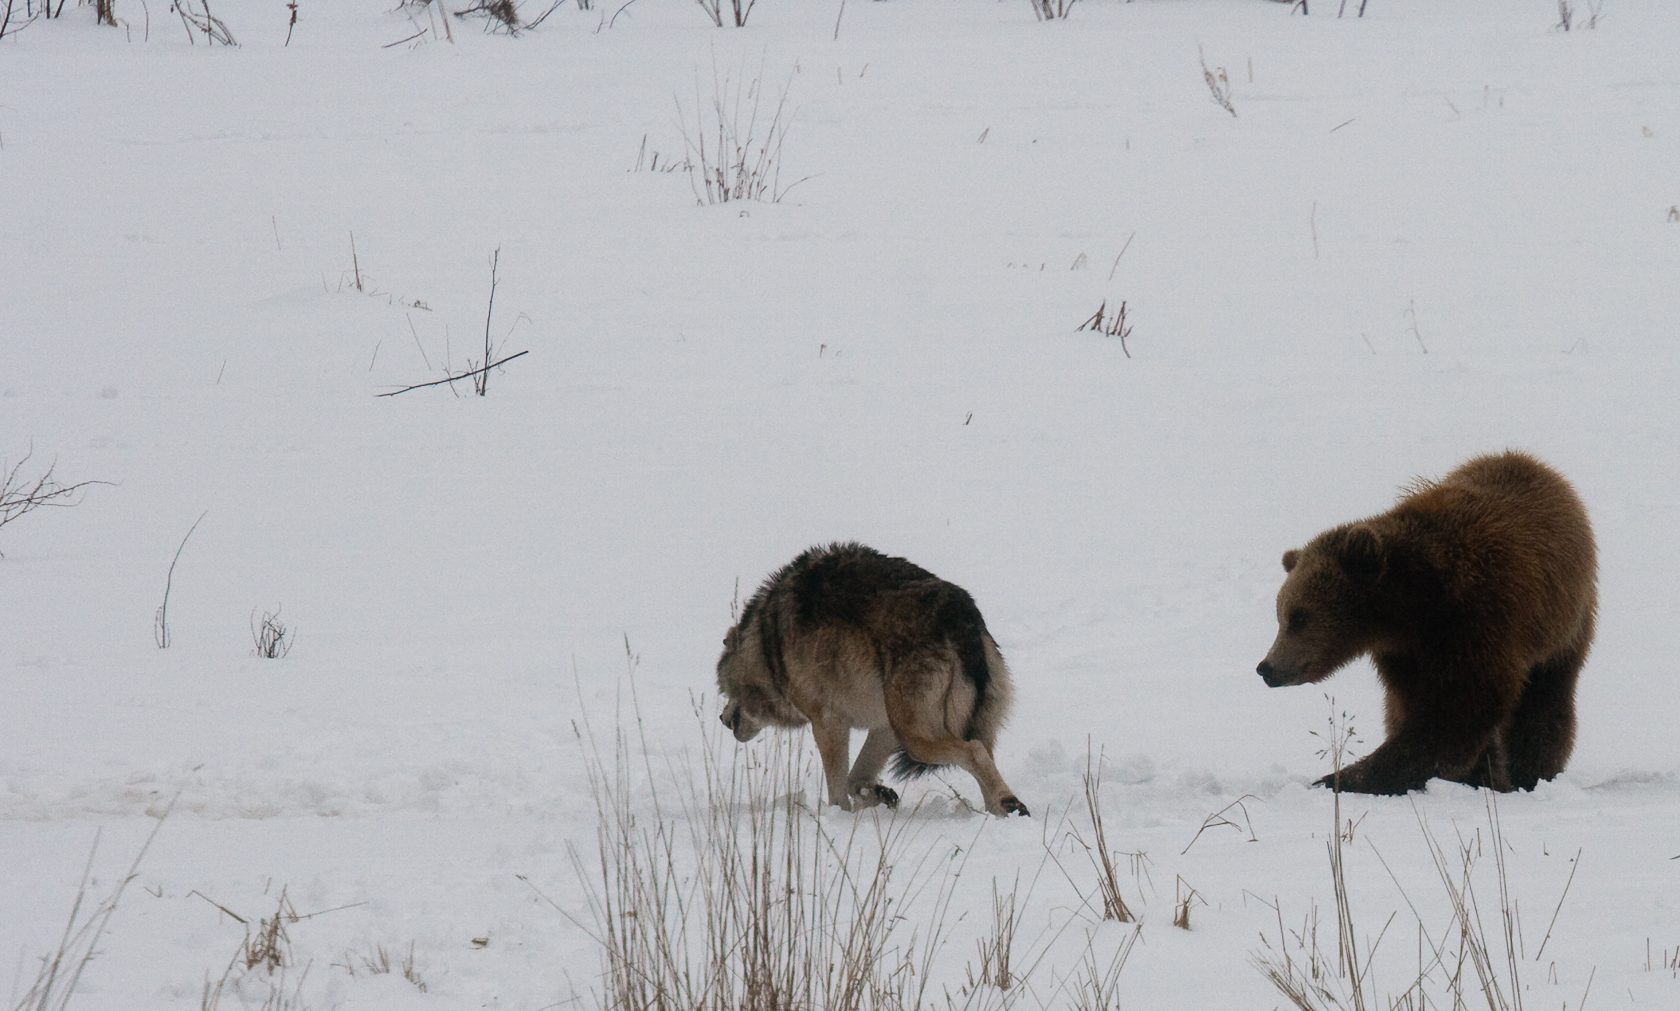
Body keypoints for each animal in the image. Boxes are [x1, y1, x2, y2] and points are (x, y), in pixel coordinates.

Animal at [715, 540, 1028, 816]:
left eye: (725, 691)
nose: (722, 719)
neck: (768, 641)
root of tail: (961, 617)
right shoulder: (883, 726)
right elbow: (856, 779)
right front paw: (880, 794)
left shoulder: (828, 723)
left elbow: (838, 788)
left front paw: (839, 817)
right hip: (931, 728)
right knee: (985, 764)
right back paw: (1003, 812)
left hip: (915, 739)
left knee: (974, 752)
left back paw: (1011, 805)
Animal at [1263, 450, 1599, 796]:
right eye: (1281, 615)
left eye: (1298, 617)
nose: (1267, 668)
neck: (1415, 603)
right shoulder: (1405, 651)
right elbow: (1415, 704)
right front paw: (1478, 773)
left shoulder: (1479, 619)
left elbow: (1459, 707)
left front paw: (1342, 777)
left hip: (1563, 625)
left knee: (1545, 701)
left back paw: (1531, 772)